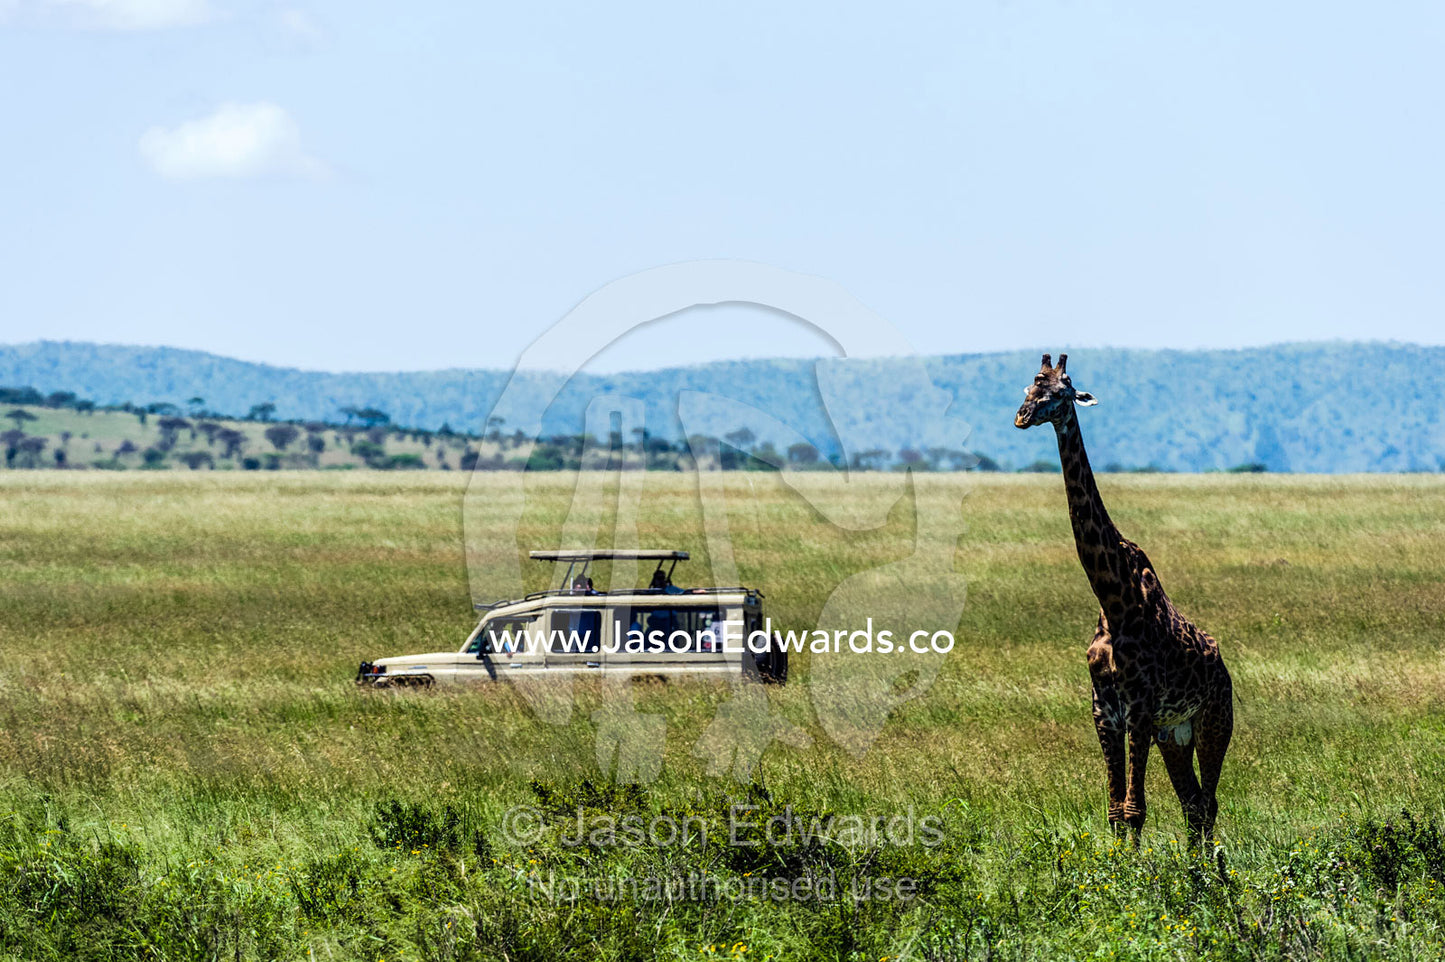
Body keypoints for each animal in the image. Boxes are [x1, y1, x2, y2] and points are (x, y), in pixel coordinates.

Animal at [1014, 353, 1233, 845]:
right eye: (1030, 385)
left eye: (1062, 390)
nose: (1022, 417)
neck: (1112, 597)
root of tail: (1224, 667)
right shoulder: (1104, 707)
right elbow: (1116, 810)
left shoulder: (1140, 706)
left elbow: (1135, 809)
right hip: (1175, 734)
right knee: (1193, 804)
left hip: (1213, 722)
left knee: (1208, 803)